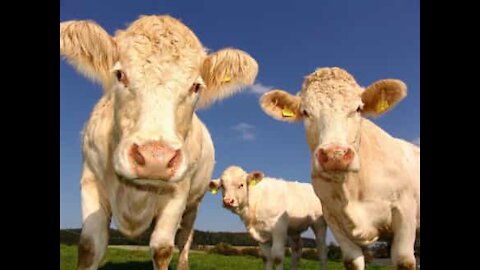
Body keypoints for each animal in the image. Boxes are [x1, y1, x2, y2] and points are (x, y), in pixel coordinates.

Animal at [60, 15, 258, 270]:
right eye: (119, 75)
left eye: (196, 86)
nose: (156, 158)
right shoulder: (91, 180)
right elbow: (89, 246)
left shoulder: (179, 193)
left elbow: (163, 248)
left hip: (194, 203)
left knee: (185, 238)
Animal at [258, 67, 420, 270]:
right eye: (305, 112)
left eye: (358, 108)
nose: (335, 154)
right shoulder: (334, 219)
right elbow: (352, 261)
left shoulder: (405, 212)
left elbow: (404, 260)